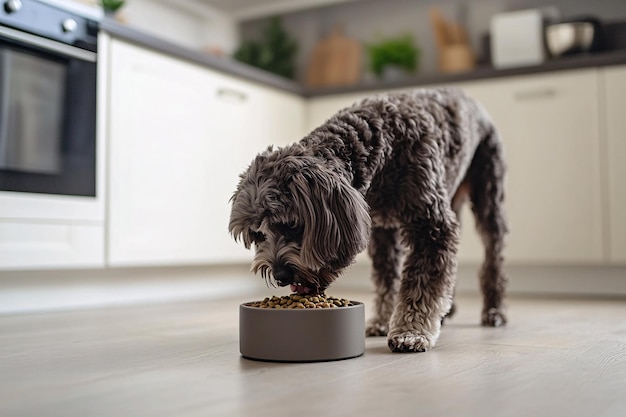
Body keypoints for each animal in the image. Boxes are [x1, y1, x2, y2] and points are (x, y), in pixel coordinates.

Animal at [229, 87, 508, 352]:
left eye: (292, 225)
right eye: (259, 234)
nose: (280, 275)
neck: (383, 144)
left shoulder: (431, 226)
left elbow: (422, 280)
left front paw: (411, 331)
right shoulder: (381, 231)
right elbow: (387, 280)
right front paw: (383, 321)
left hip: (489, 196)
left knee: (493, 258)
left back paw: (494, 311)